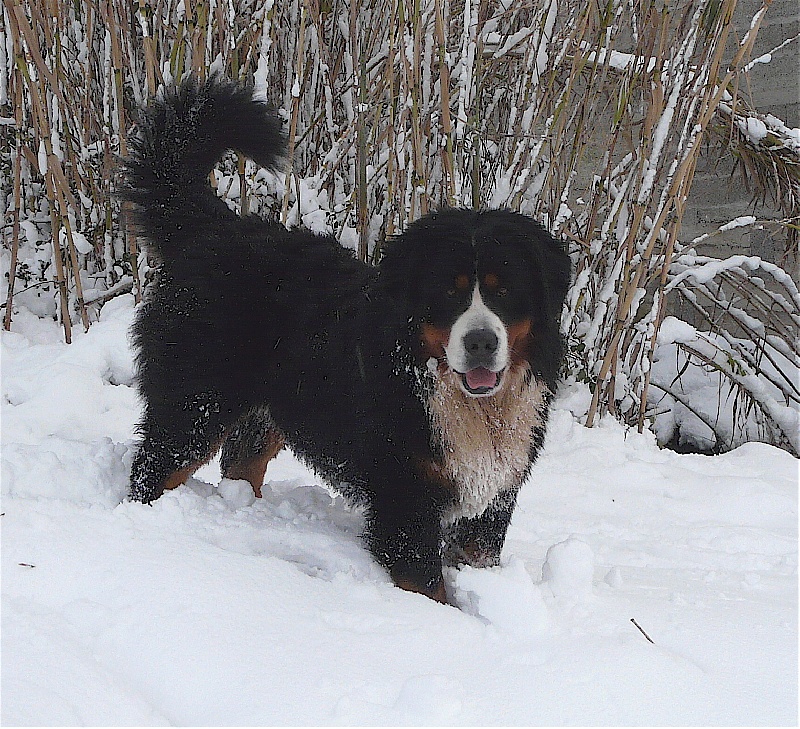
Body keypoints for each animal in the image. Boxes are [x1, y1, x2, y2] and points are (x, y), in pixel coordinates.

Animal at [120, 75, 568, 604]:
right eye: (448, 292)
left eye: (504, 290)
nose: (481, 342)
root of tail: (215, 229)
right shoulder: (405, 496)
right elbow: (427, 585)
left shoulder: (491, 500)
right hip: (194, 402)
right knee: (155, 467)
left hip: (265, 412)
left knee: (241, 464)